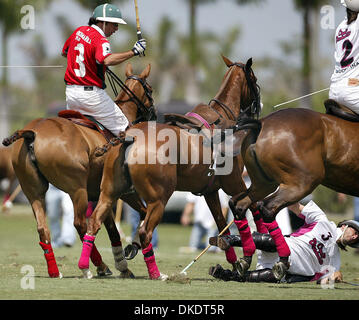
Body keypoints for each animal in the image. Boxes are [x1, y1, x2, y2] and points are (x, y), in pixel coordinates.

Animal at [2, 63, 155, 278]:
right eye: (150, 89)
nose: (154, 115)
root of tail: (31, 133)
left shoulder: (102, 194)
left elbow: (113, 231)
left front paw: (124, 265)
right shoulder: (124, 192)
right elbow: (141, 214)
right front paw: (131, 249)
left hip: (32, 189)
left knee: (43, 227)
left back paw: (55, 270)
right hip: (77, 188)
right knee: (80, 223)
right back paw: (97, 267)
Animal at [80, 55, 262, 280]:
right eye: (254, 79)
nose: (259, 105)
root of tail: (128, 137)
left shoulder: (210, 190)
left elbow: (222, 228)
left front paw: (236, 263)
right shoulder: (234, 182)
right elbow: (250, 208)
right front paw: (249, 256)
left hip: (110, 192)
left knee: (95, 222)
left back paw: (88, 266)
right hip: (159, 197)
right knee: (145, 230)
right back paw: (156, 273)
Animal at [231, 105, 359, 280]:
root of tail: (261, 123)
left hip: (263, 184)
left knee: (239, 204)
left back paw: (245, 258)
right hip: (302, 183)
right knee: (268, 208)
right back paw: (283, 261)